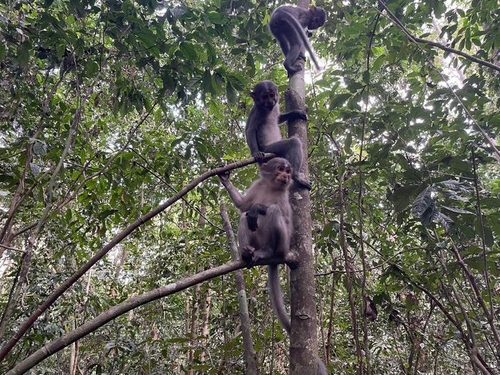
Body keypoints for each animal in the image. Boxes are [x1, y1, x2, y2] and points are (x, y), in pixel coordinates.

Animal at [219, 158, 328, 374]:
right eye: (280, 169)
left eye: (288, 170)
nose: (286, 175)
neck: (272, 186)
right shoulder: (257, 185)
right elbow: (243, 205)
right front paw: (226, 180)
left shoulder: (285, 197)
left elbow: (282, 217)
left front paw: (259, 208)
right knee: (244, 217)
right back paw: (246, 253)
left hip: (283, 246)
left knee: (274, 213)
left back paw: (267, 251)